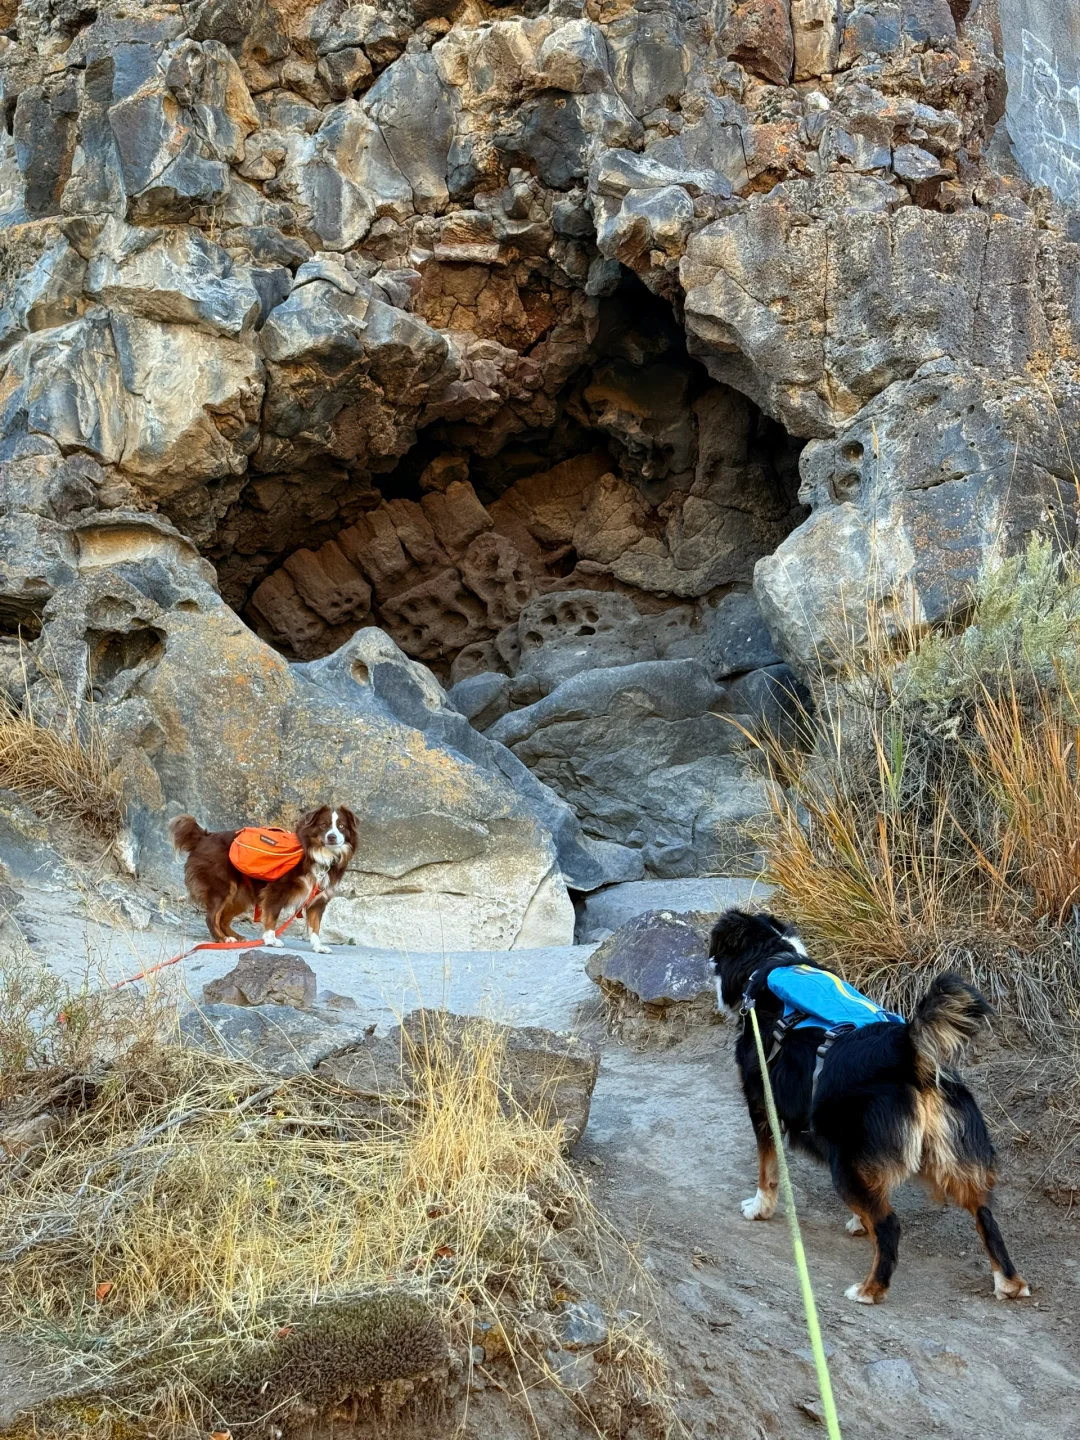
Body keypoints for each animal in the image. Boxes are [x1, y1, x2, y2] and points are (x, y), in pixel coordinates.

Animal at [167, 812, 357, 956]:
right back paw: (223, 939)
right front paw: (271, 939)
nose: (332, 837)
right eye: (323, 825)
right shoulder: (276, 890)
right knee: (212, 917)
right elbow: (272, 916)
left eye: (341, 827)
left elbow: (315, 927)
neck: (318, 855)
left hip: (241, 896)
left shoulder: (317, 900)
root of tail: (204, 837)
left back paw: (237, 938)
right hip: (223, 888)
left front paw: (318, 947)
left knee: (223, 919)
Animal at [711, 910, 1031, 1307]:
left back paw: (870, 1289)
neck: (773, 962)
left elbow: (766, 1170)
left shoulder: (763, 1105)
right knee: (986, 1216)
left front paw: (759, 1209)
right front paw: (858, 1223)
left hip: (846, 1163)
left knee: (891, 1225)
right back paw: (1009, 1282)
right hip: (953, 1159)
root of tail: (905, 1050)